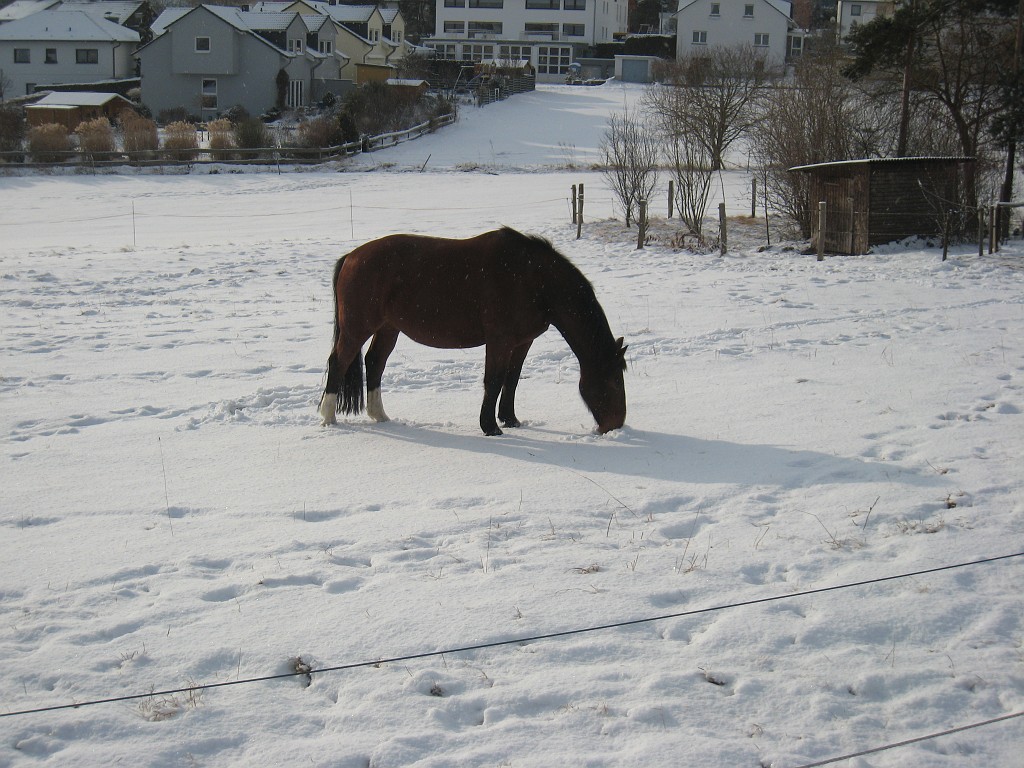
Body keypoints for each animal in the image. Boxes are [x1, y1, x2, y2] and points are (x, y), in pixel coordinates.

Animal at [319, 227, 627, 436]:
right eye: (612, 381)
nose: (616, 425)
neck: (533, 280)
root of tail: (351, 257)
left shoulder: (522, 342)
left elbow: (512, 380)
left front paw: (510, 420)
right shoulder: (500, 341)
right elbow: (494, 380)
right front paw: (490, 427)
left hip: (388, 328)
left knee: (375, 362)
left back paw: (379, 415)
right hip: (358, 328)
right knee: (339, 362)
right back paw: (328, 417)